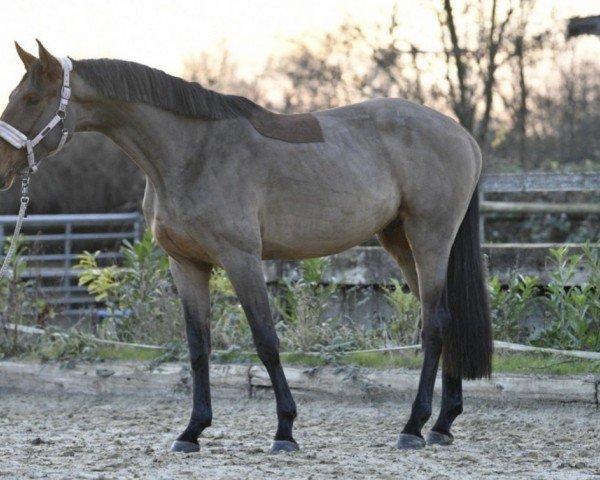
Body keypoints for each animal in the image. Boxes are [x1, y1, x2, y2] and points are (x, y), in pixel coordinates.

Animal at [0, 41, 492, 454]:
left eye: (32, 99)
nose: (3, 165)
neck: (191, 154)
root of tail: (463, 136)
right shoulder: (186, 266)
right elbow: (198, 347)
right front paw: (192, 432)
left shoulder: (242, 260)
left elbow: (266, 341)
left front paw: (285, 431)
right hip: (399, 241)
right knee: (445, 319)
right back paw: (442, 424)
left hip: (429, 238)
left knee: (435, 325)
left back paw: (413, 427)